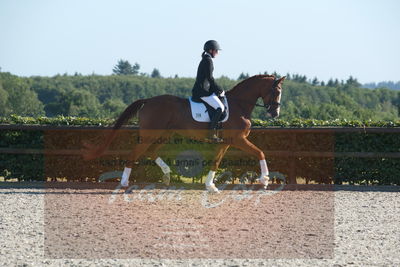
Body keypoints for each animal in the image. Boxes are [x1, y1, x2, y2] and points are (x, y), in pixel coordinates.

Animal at [83, 75, 284, 193]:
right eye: (276, 91)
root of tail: (148, 100)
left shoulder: (225, 142)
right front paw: (265, 180)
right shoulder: (238, 139)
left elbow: (216, 161)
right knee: (135, 153)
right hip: (150, 135)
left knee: (151, 151)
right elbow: (260, 152)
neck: (239, 105)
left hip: (165, 134)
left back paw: (167, 175)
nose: (275, 113)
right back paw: (125, 183)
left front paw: (210, 186)